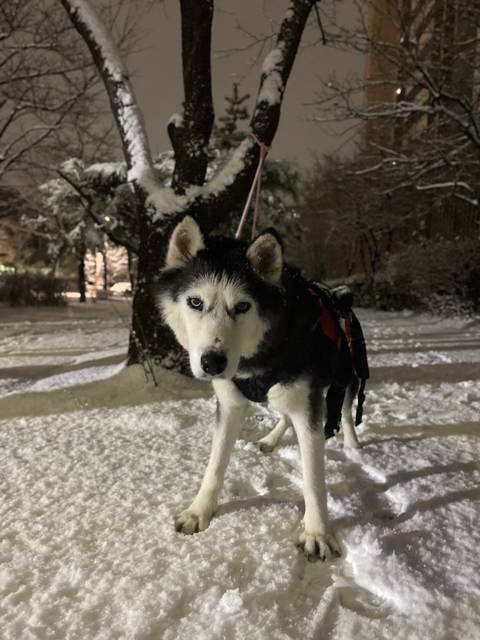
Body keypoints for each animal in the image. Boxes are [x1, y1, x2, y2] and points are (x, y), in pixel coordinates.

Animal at [156, 216, 362, 560]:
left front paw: (317, 532)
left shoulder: (309, 405)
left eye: (242, 306)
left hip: (345, 376)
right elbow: (215, 465)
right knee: (284, 414)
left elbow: (313, 480)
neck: (255, 358)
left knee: (345, 412)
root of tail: (339, 293)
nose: (213, 362)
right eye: (195, 302)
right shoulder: (230, 405)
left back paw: (352, 443)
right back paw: (271, 439)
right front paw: (200, 511)